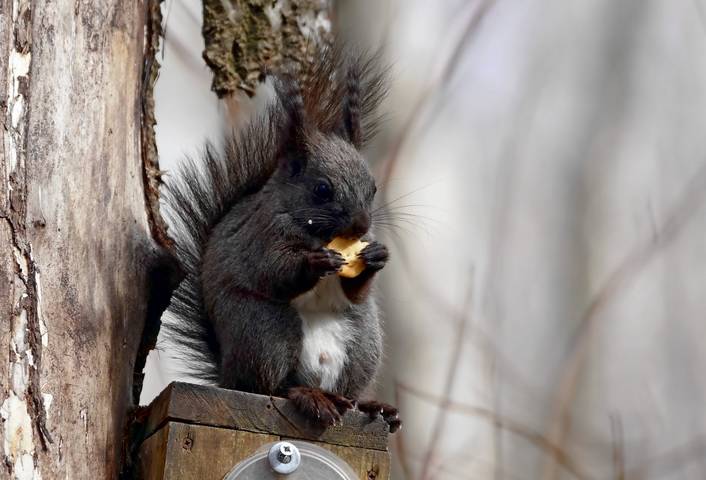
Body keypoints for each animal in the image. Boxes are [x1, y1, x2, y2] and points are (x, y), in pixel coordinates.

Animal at [162, 46, 400, 432]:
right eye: (322, 190)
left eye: (373, 188)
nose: (362, 226)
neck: (317, 233)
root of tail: (229, 374)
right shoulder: (260, 237)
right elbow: (273, 272)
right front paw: (314, 262)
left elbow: (356, 293)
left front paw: (376, 256)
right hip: (267, 332)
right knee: (273, 387)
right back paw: (308, 396)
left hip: (362, 346)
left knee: (345, 391)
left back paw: (369, 406)